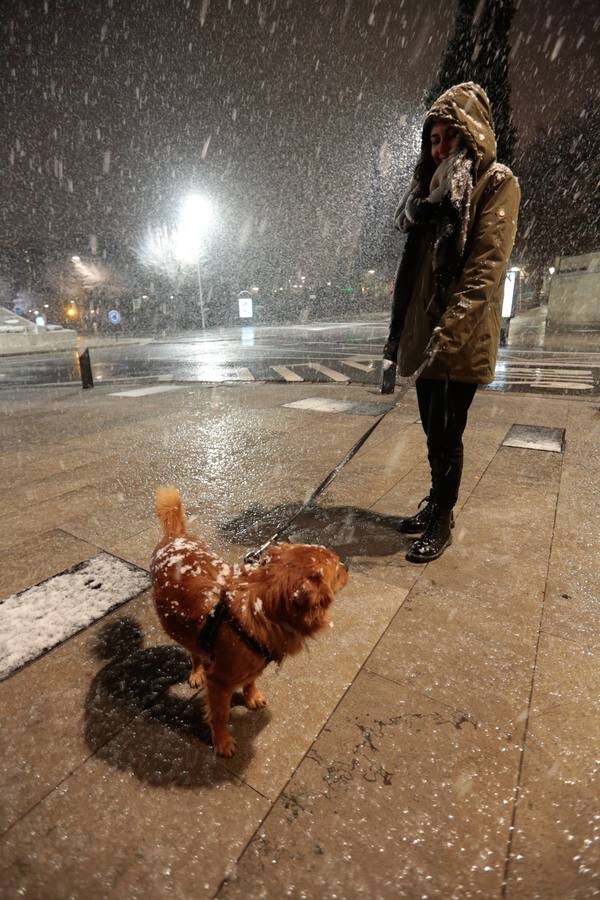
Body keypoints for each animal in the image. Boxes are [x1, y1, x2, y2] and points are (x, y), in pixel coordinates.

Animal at [150, 488, 346, 756]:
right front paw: (222, 741)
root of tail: (176, 536)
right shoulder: (219, 682)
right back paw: (197, 671)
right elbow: (220, 715)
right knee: (194, 651)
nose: (347, 567)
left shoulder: (255, 661)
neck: (262, 606)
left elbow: (252, 679)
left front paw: (252, 696)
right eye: (337, 570)